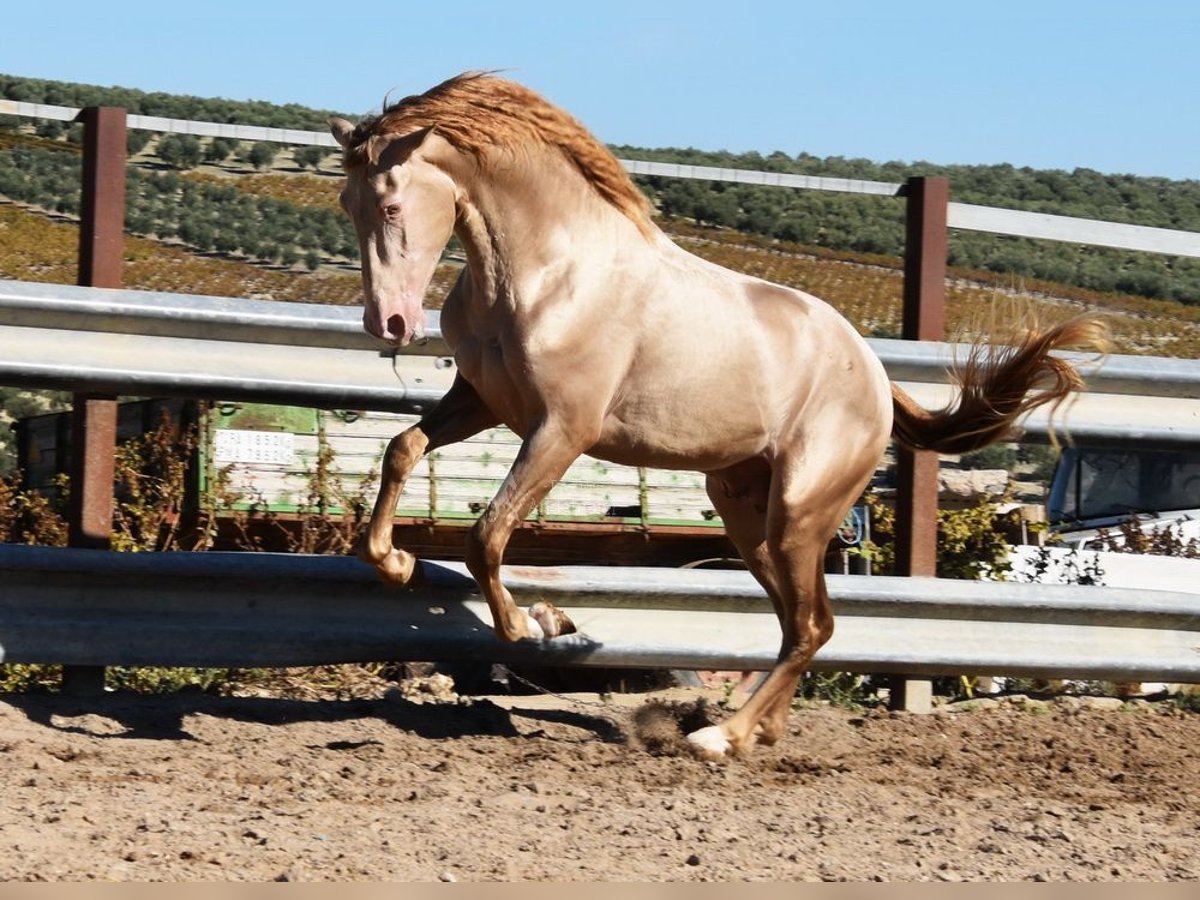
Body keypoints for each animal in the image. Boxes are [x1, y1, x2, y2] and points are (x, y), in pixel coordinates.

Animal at [328, 74, 1104, 758]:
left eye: (391, 206)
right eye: (347, 203)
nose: (388, 323)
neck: (548, 271)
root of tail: (878, 379)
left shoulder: (563, 430)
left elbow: (486, 535)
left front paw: (540, 623)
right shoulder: (483, 401)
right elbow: (402, 448)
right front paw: (396, 562)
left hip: (800, 514)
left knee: (813, 625)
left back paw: (721, 737)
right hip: (745, 512)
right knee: (802, 621)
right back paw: (756, 730)